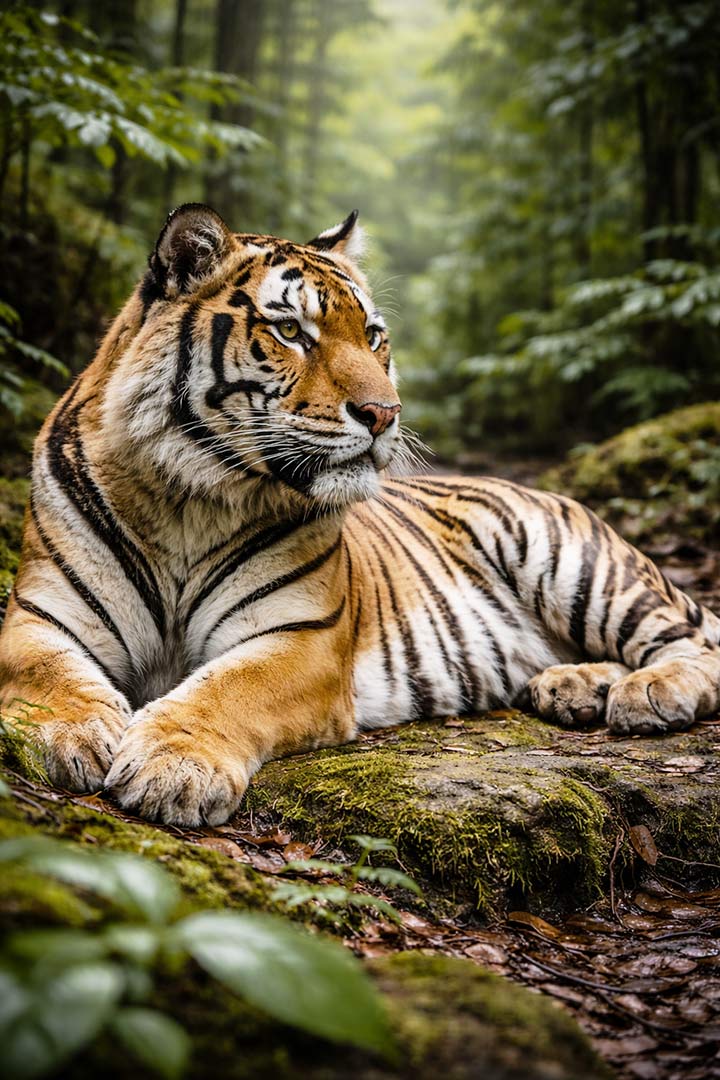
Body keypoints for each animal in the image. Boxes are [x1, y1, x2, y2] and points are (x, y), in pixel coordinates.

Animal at [1, 202, 719, 828]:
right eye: (291, 331)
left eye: (372, 336)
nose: (384, 413)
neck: (189, 496)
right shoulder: (39, 615)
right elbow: (47, 673)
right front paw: (68, 734)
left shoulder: (301, 637)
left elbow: (223, 690)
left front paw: (172, 766)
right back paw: (571, 685)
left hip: (572, 562)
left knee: (695, 641)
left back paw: (647, 694)